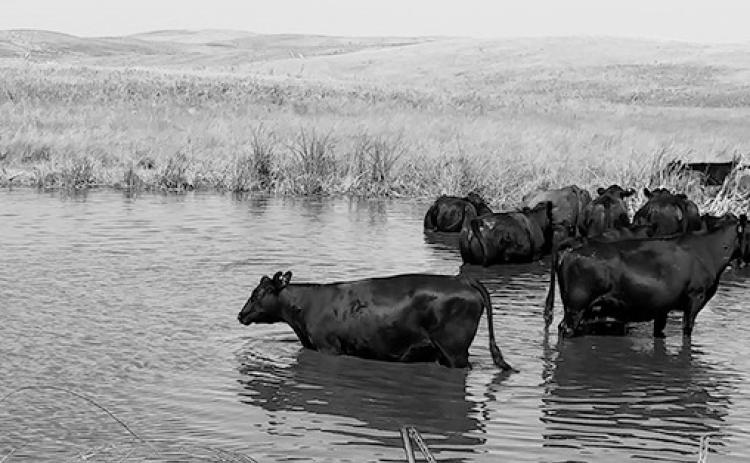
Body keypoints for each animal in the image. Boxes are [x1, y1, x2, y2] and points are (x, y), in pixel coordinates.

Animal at [544, 213, 747, 338]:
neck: (708, 250)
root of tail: (577, 244)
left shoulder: (662, 308)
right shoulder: (695, 298)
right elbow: (687, 330)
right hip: (576, 306)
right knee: (564, 329)